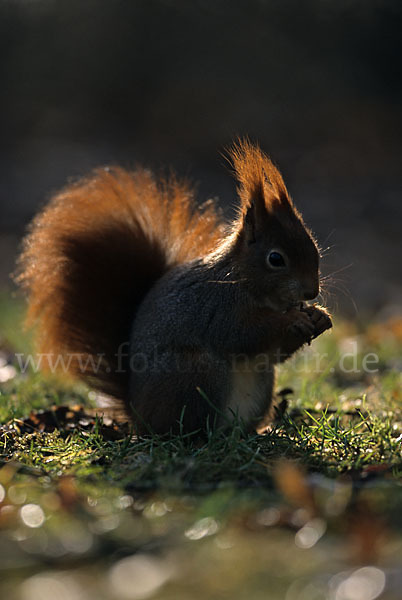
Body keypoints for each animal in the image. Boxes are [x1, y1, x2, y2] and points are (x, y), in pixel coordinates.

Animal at [17, 141, 332, 436]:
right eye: (275, 259)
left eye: (315, 248)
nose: (311, 292)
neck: (245, 282)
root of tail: (138, 414)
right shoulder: (218, 307)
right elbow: (242, 334)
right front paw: (292, 320)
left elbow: (276, 353)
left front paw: (319, 317)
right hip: (195, 372)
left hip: (261, 383)